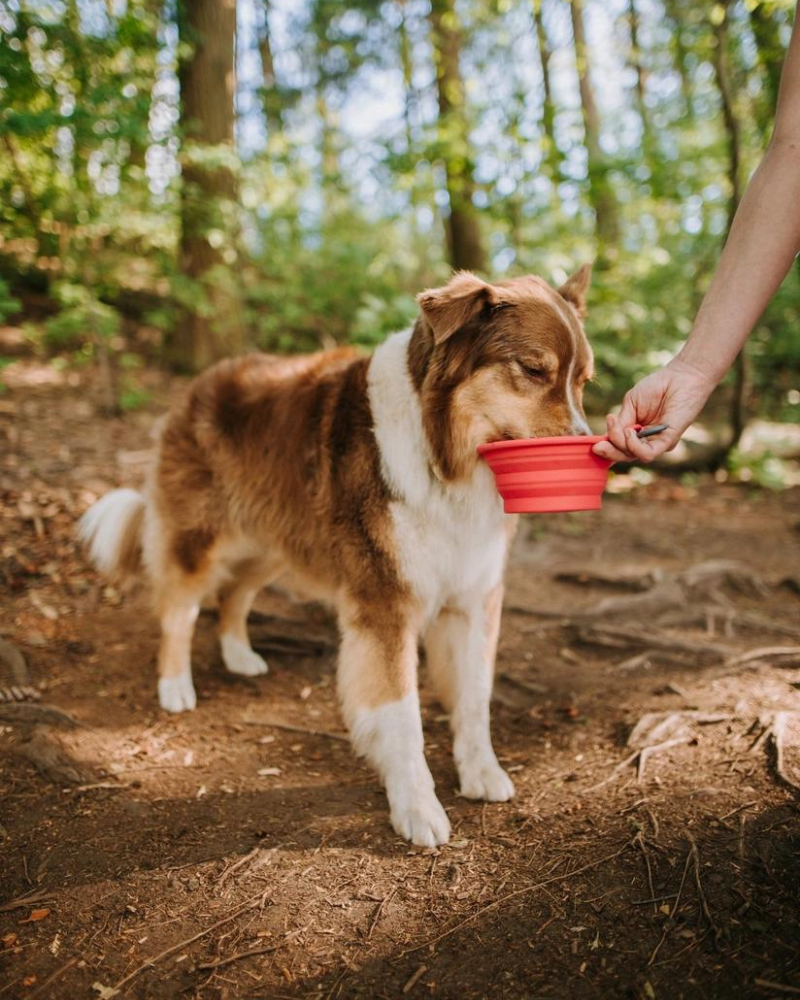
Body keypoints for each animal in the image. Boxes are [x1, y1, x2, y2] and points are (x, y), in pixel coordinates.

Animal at [79, 266, 592, 844]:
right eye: (533, 370)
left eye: (583, 382)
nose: (588, 445)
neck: (443, 457)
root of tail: (204, 380)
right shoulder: (385, 605)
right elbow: (403, 715)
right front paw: (417, 807)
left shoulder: (474, 596)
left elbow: (475, 696)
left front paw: (481, 771)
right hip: (202, 541)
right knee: (179, 611)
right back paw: (174, 685)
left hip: (276, 542)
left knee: (234, 594)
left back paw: (239, 656)